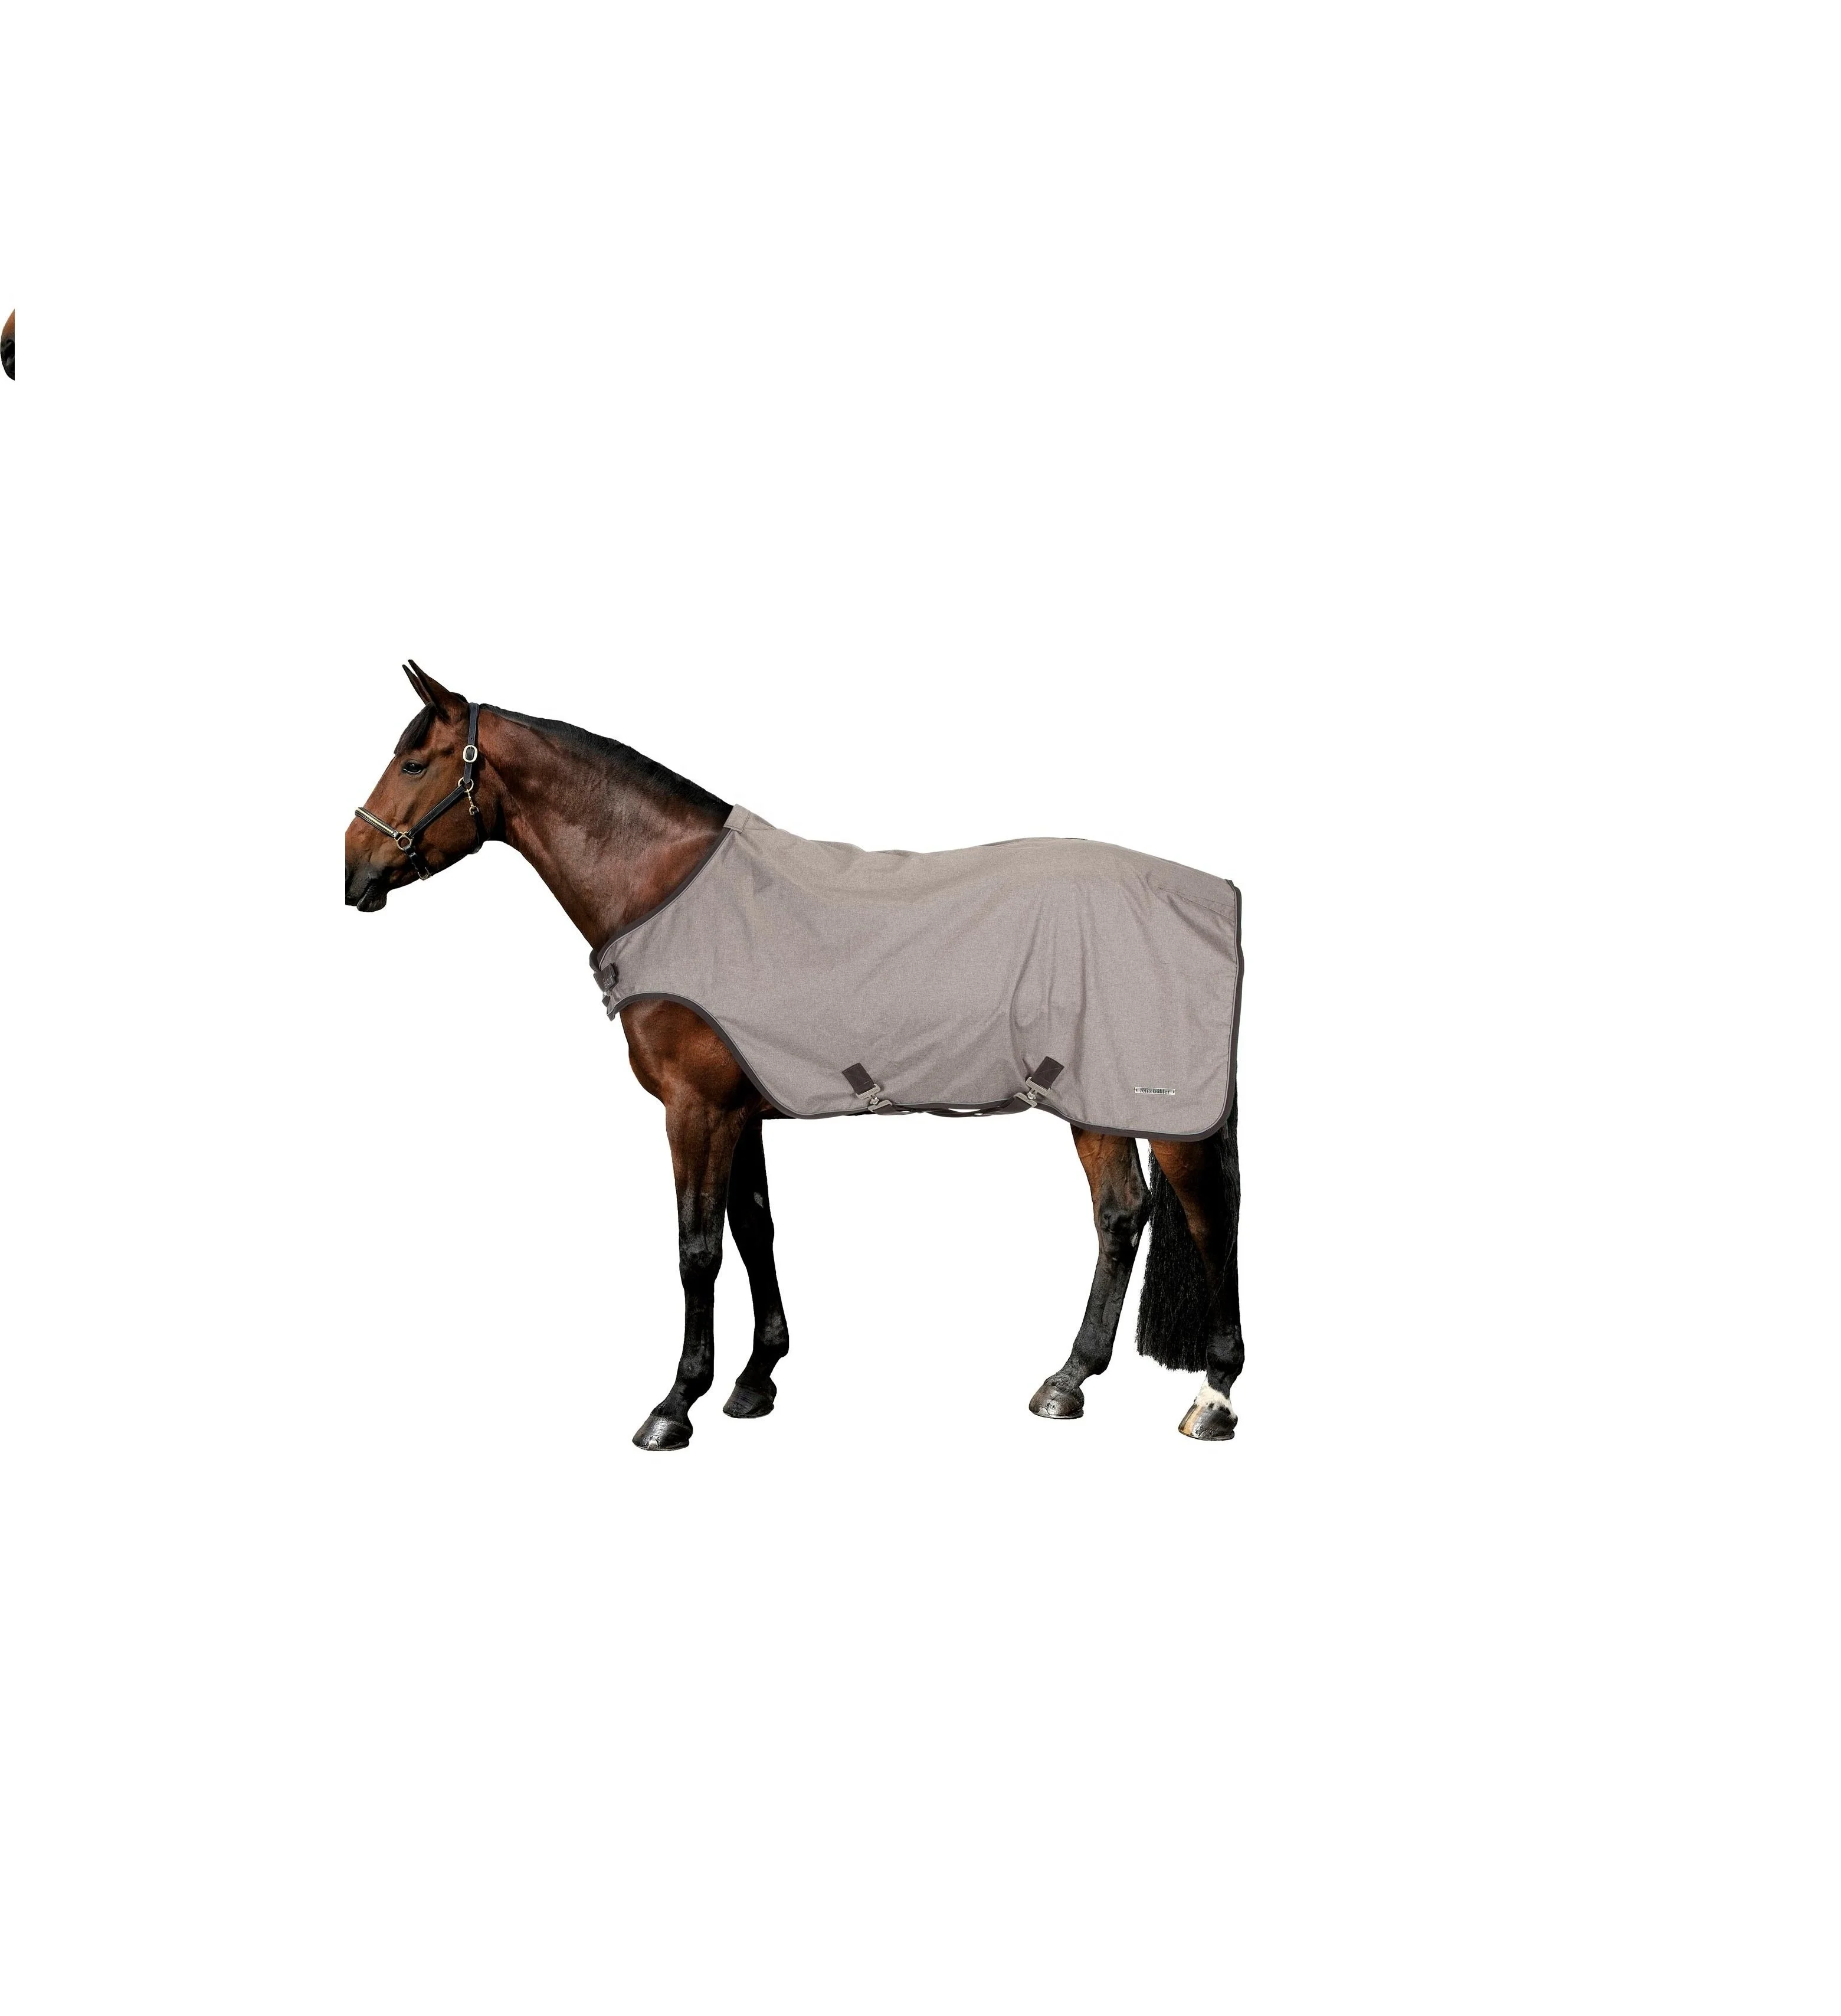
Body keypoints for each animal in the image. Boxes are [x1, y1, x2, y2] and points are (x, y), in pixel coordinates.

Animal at [345, 661, 1244, 1450]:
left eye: (415, 761)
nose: (353, 868)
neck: (665, 887)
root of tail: (1218, 894)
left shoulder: (696, 1109)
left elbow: (698, 1250)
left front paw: (675, 1405)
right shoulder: (739, 1109)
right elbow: (755, 1230)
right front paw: (756, 1380)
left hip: (1156, 1106)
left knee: (1211, 1215)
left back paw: (1214, 1396)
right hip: (1095, 1104)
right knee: (1121, 1216)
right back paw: (1067, 1381)